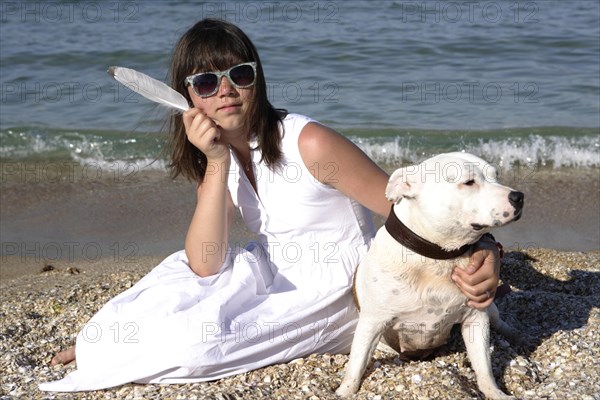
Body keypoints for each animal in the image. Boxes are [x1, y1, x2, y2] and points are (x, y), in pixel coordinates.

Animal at [338, 152, 524, 398]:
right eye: (469, 182)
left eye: (496, 176)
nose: (519, 196)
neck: (438, 257)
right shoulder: (372, 322)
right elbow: (357, 363)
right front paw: (344, 391)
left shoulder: (476, 318)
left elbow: (483, 364)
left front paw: (494, 392)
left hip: (489, 307)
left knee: (499, 321)